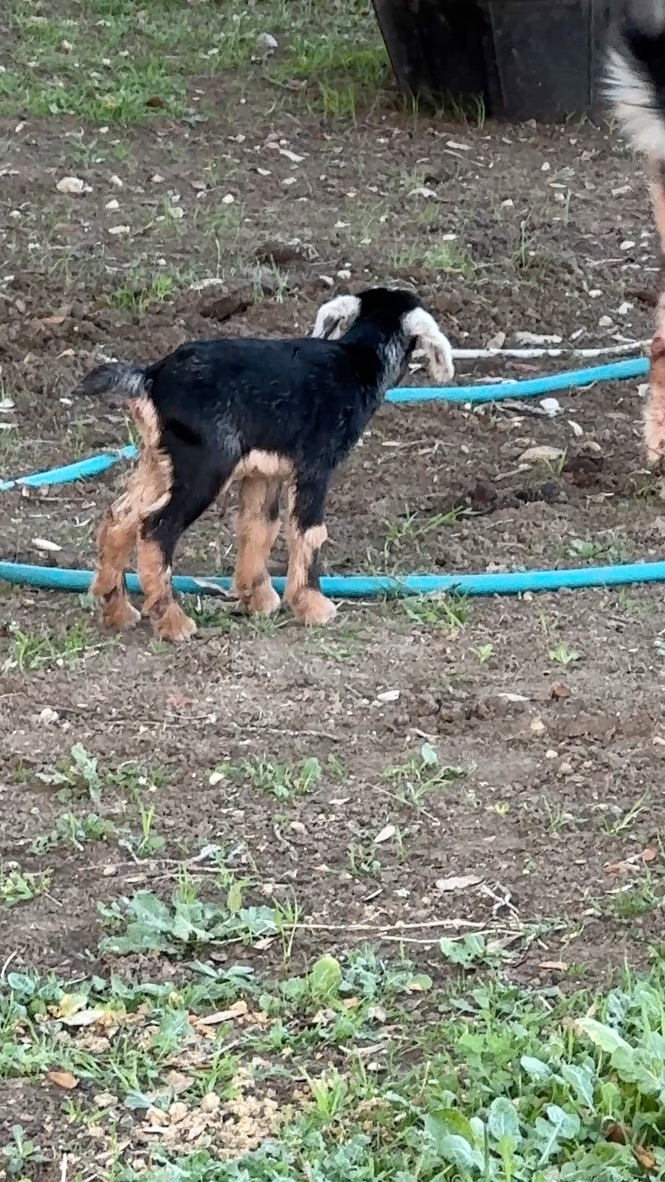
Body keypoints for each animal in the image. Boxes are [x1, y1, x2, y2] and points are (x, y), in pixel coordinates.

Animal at [74, 286, 454, 641]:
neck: (357, 361)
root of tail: (150, 376)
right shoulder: (315, 469)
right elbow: (309, 532)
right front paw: (313, 606)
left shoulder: (264, 474)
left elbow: (260, 527)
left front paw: (257, 598)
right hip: (205, 468)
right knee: (156, 528)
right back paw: (172, 621)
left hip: (161, 462)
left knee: (121, 518)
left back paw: (117, 610)